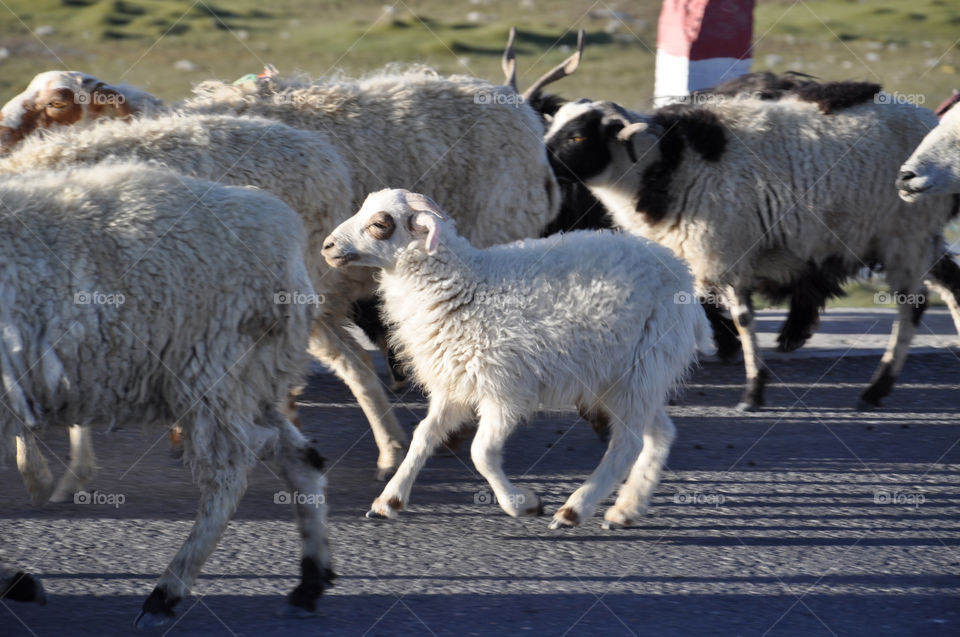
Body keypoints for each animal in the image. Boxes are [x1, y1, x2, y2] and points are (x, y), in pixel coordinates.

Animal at [320, 188, 704, 528]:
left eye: (380, 223)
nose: (327, 246)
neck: (465, 288)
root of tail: (680, 270)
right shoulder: (454, 386)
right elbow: (424, 437)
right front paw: (390, 500)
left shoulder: (505, 391)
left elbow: (482, 454)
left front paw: (523, 504)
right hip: (627, 376)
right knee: (659, 434)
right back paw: (626, 509)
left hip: (641, 366)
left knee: (628, 442)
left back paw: (575, 509)